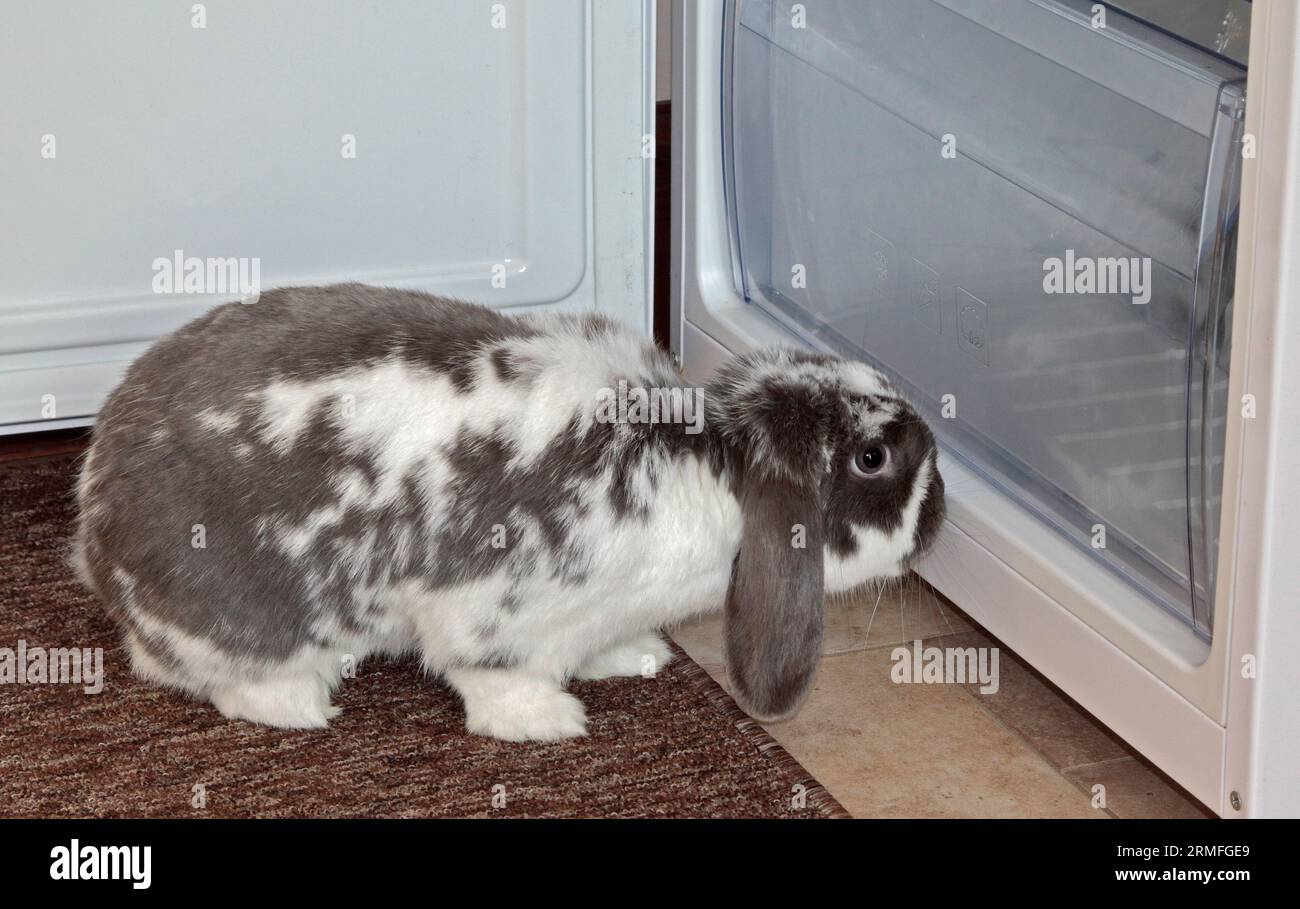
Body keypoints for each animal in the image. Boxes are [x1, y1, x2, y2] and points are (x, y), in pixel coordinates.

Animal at [73, 283, 945, 741]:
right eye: (872, 458)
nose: (939, 516)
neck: (713, 459)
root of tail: (95, 516)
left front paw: (635, 657)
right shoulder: (495, 613)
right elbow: (497, 678)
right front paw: (553, 719)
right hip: (255, 619)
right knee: (211, 676)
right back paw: (300, 704)